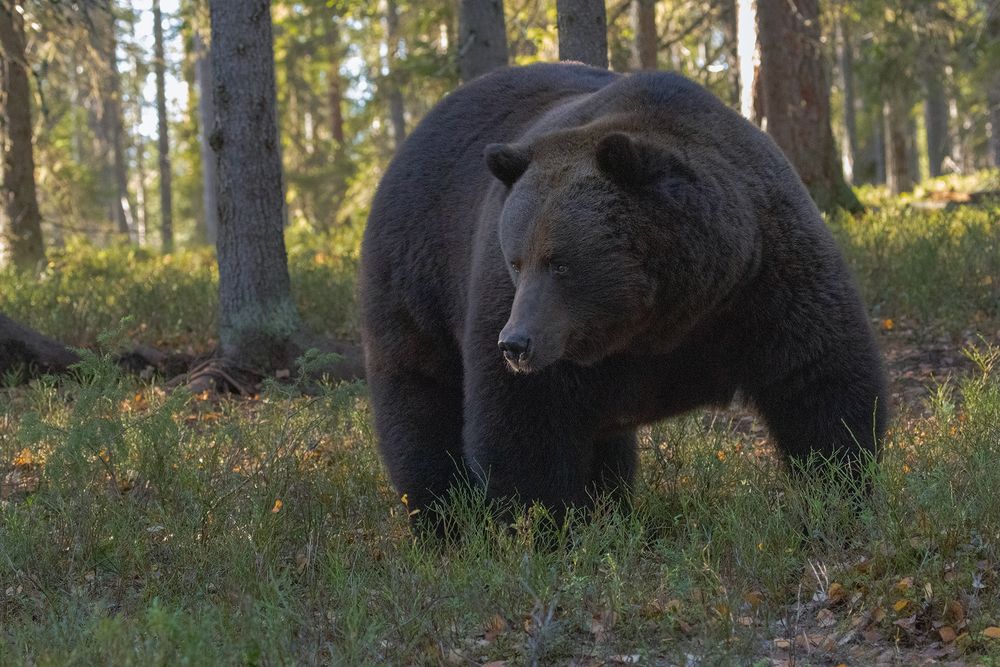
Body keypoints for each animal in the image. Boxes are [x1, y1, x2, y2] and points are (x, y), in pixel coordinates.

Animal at [359, 63, 887, 529]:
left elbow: (819, 381)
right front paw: (544, 527)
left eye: (559, 262)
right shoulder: (516, 314)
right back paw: (443, 522)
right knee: (423, 399)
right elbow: (524, 426)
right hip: (418, 274)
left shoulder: (765, 276)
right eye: (516, 259)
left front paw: (842, 495)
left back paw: (610, 507)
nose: (516, 344)